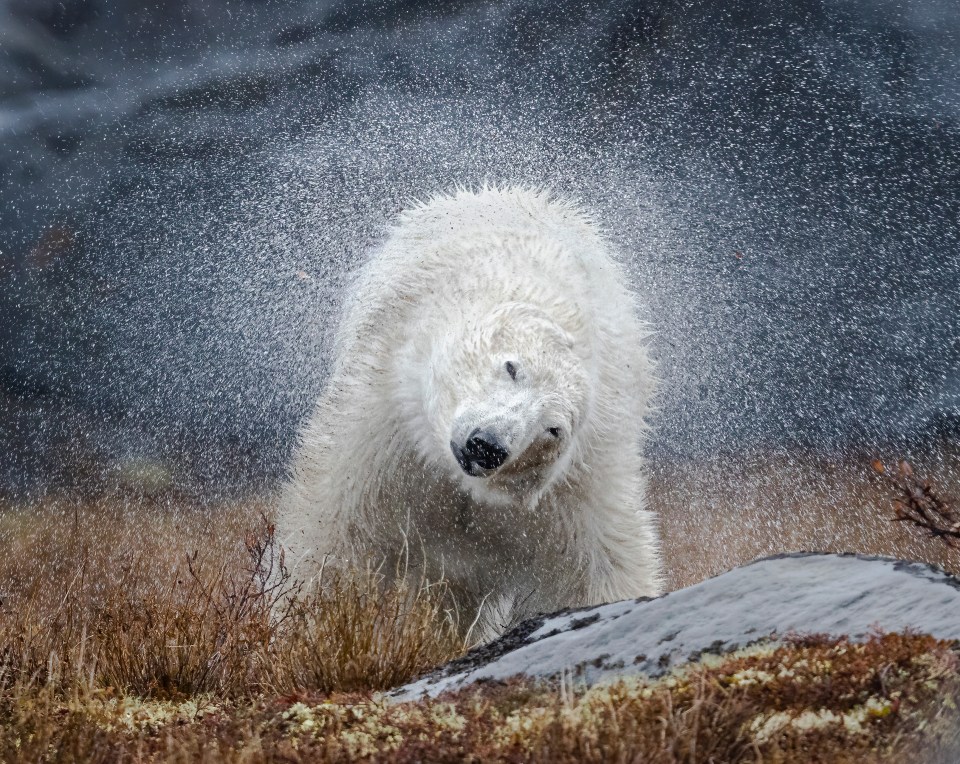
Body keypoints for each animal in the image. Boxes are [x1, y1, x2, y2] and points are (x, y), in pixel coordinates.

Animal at [282, 188, 664, 640]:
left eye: (553, 429)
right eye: (512, 367)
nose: (488, 445)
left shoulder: (576, 486)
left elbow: (596, 568)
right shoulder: (385, 426)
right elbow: (335, 533)